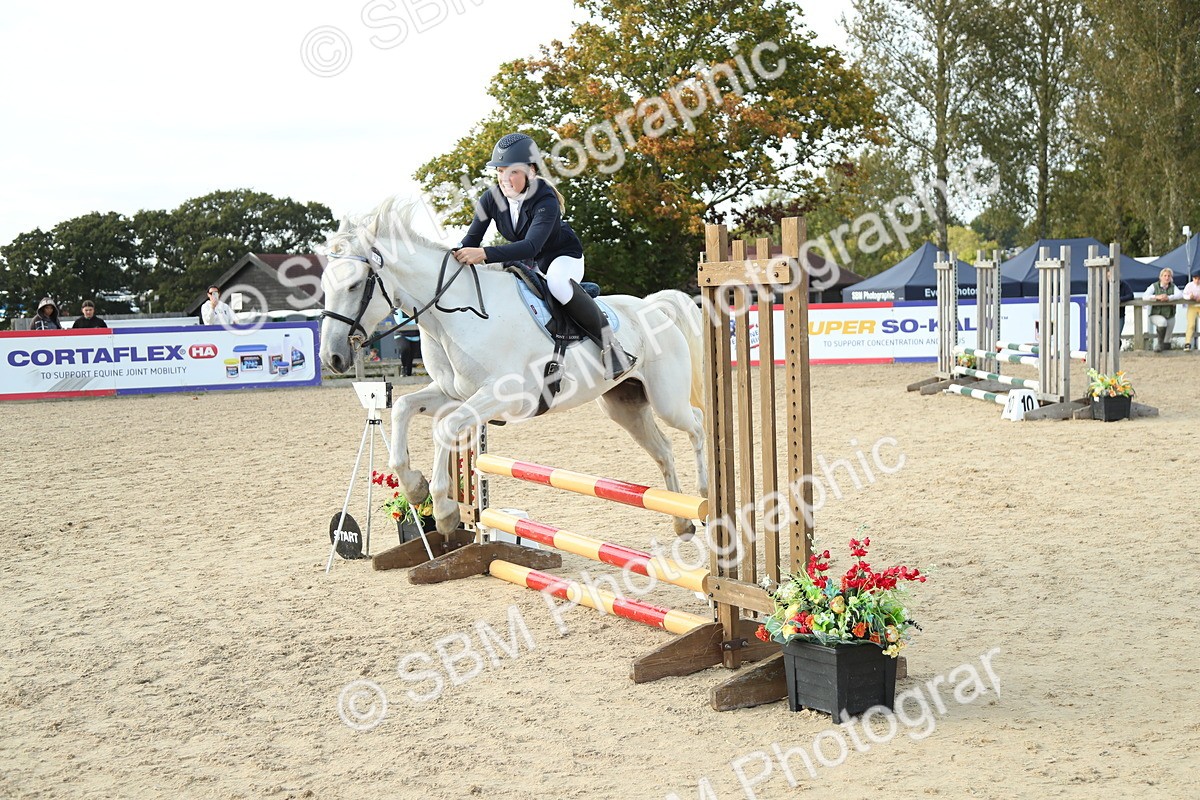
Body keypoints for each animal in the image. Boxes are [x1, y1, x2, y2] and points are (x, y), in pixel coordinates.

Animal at [318, 196, 708, 539]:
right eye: (325, 285)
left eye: (354, 285)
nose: (331, 358)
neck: (454, 315)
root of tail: (653, 306)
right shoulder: (451, 393)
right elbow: (402, 407)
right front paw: (415, 488)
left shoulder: (501, 395)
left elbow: (446, 427)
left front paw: (443, 511)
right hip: (624, 405)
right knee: (664, 450)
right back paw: (682, 523)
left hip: (666, 401)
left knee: (696, 424)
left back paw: (705, 500)